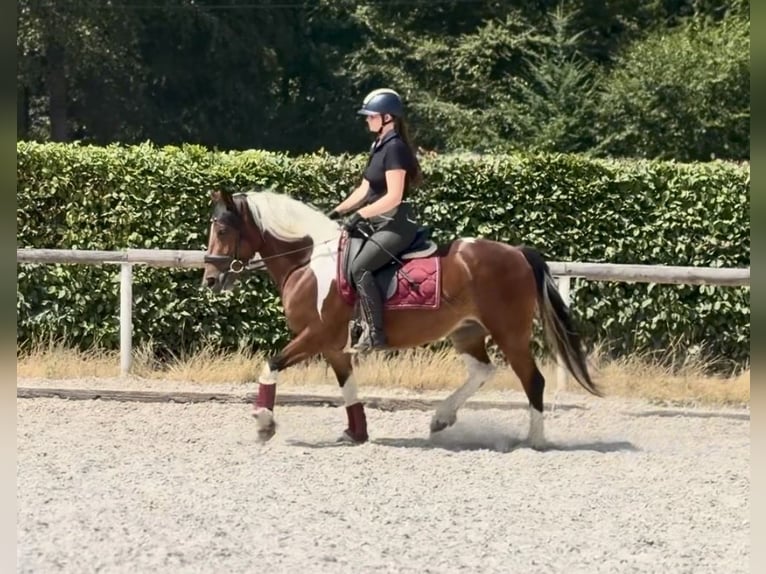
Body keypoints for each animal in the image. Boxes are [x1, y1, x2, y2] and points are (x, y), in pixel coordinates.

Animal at [201, 188, 601, 448]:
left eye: (222, 230)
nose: (210, 279)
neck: (309, 262)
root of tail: (517, 252)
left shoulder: (315, 336)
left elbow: (270, 365)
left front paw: (264, 423)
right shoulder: (334, 346)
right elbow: (348, 388)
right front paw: (356, 434)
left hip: (510, 333)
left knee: (533, 380)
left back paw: (534, 440)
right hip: (467, 331)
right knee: (482, 370)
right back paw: (442, 417)